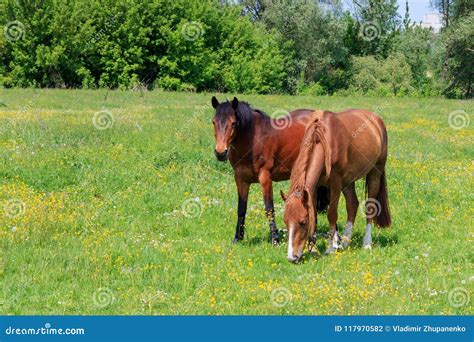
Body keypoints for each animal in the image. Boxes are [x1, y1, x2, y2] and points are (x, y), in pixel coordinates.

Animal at [212, 96, 328, 244]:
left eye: (233, 123)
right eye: (214, 122)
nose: (220, 152)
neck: (252, 141)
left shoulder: (265, 177)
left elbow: (269, 208)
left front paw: (275, 239)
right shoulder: (241, 180)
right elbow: (241, 209)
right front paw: (238, 238)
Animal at [280, 109, 390, 262]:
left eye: (303, 222)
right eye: (286, 221)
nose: (292, 257)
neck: (324, 140)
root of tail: (377, 120)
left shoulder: (335, 183)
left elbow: (331, 214)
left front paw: (330, 248)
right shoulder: (315, 187)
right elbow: (314, 213)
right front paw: (314, 248)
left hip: (375, 172)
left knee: (370, 207)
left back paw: (366, 243)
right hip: (348, 181)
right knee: (352, 205)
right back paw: (345, 242)